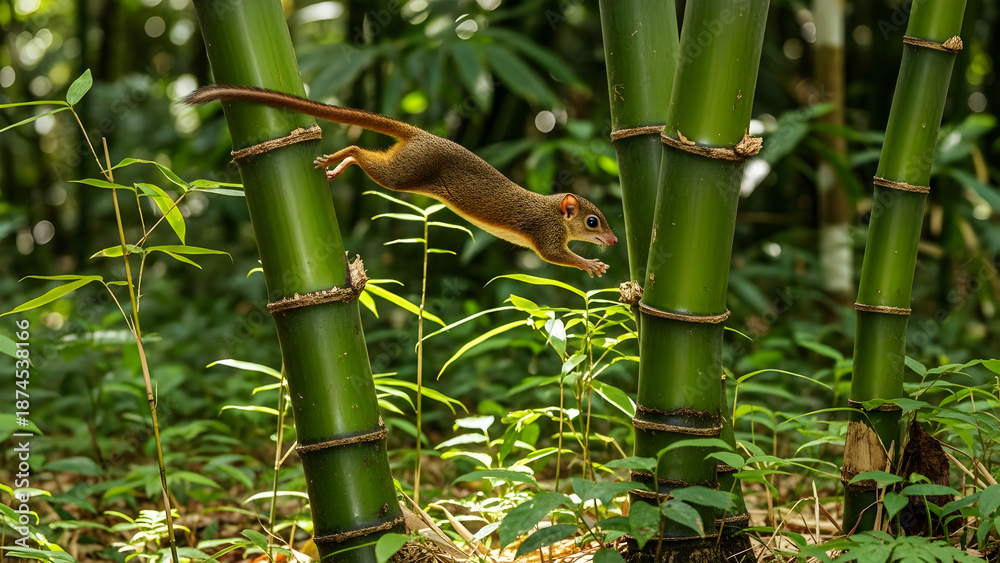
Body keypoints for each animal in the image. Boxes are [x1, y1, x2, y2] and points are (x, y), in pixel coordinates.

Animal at [186, 85, 618, 276]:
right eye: (592, 221)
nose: (614, 241)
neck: (555, 212)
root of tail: (422, 135)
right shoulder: (545, 233)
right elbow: (554, 256)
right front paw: (591, 263)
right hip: (403, 173)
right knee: (361, 152)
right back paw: (338, 159)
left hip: (403, 169)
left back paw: (336, 166)